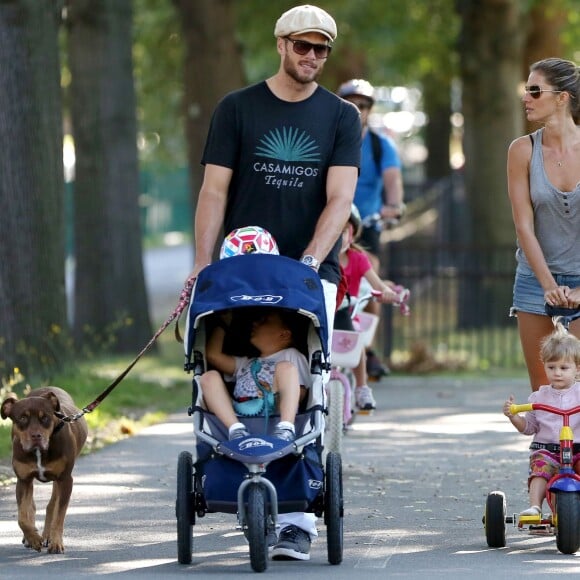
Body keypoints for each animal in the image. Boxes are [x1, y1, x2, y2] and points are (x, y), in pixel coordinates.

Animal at [1, 386, 88, 552]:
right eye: (22, 418)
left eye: (45, 417)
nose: (36, 436)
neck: (39, 452)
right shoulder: (23, 480)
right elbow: (22, 516)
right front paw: (33, 538)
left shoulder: (65, 480)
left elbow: (59, 515)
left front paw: (56, 543)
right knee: (32, 506)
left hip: (59, 481)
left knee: (52, 505)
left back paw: (48, 536)